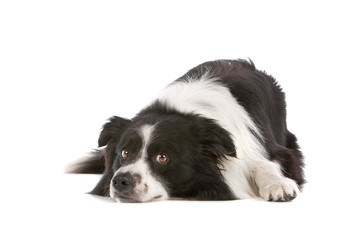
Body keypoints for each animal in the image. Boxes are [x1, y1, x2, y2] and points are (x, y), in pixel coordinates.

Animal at [69, 59, 306, 202]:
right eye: (124, 153)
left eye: (162, 157)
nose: (120, 181)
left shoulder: (272, 149)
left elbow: (267, 164)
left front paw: (279, 185)